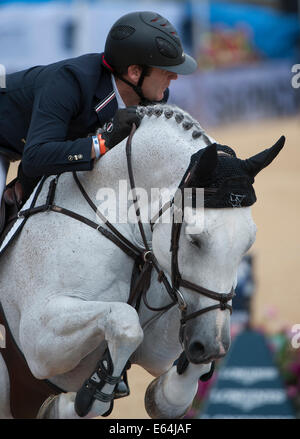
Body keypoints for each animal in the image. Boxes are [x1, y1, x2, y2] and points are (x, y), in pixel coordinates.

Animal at [0, 104, 284, 420]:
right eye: (194, 239)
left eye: (249, 242)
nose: (213, 346)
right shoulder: (38, 340)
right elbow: (125, 322)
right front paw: (86, 396)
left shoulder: (167, 333)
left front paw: (165, 397)